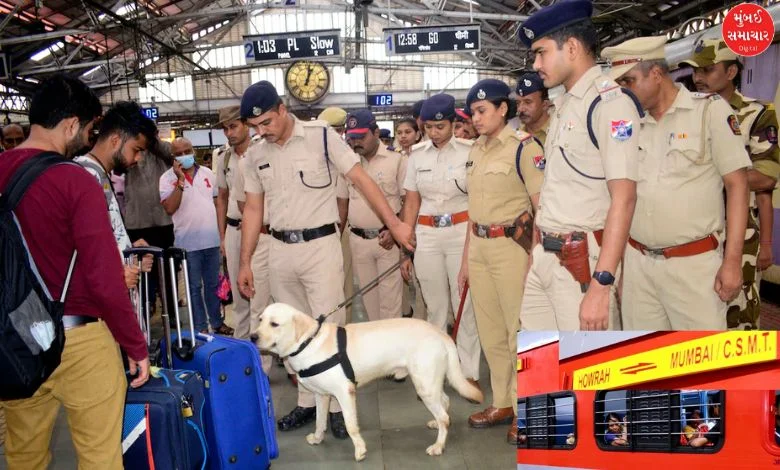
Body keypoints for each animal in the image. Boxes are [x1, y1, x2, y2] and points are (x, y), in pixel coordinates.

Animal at [251, 302, 482, 460]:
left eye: (274, 324)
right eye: (260, 320)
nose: (252, 337)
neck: (308, 342)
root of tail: (441, 333)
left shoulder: (345, 392)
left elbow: (351, 425)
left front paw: (360, 450)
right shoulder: (321, 395)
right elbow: (319, 421)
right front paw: (317, 438)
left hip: (424, 384)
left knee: (444, 416)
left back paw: (438, 446)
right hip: (429, 382)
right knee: (445, 404)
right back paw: (436, 424)